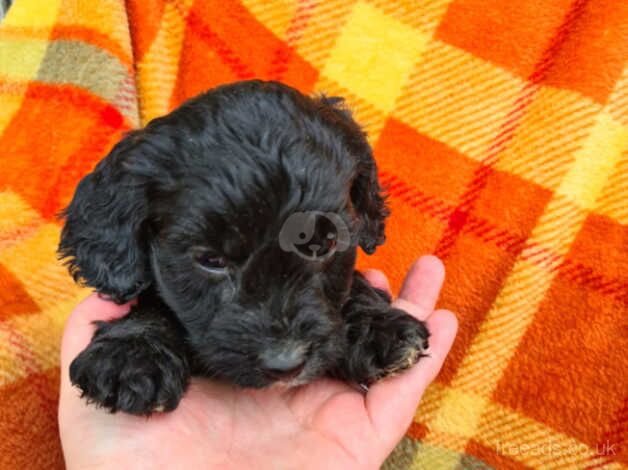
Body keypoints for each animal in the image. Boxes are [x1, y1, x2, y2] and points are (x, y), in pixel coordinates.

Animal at [59, 81, 430, 414]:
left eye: (325, 244)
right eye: (211, 259)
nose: (286, 364)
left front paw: (378, 327)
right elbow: (154, 303)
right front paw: (132, 354)